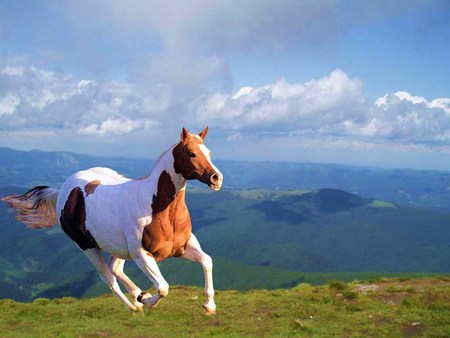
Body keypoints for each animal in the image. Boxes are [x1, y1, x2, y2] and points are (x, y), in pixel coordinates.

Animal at [1, 127, 223, 314]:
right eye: (191, 153)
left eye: (209, 152)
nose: (216, 178)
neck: (158, 208)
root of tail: (63, 190)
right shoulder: (142, 255)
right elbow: (163, 287)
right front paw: (147, 301)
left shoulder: (183, 246)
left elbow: (207, 261)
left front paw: (209, 306)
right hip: (88, 247)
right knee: (108, 277)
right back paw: (135, 306)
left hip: (117, 248)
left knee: (114, 269)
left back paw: (138, 295)